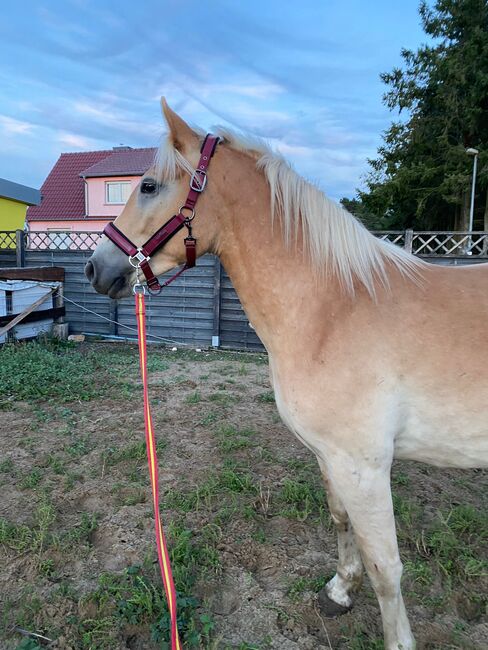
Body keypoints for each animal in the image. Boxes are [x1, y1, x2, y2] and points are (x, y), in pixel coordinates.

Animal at [86, 98, 488, 644]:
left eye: (148, 185)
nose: (95, 268)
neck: (334, 308)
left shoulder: (365, 467)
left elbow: (387, 568)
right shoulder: (332, 458)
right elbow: (340, 521)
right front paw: (340, 591)